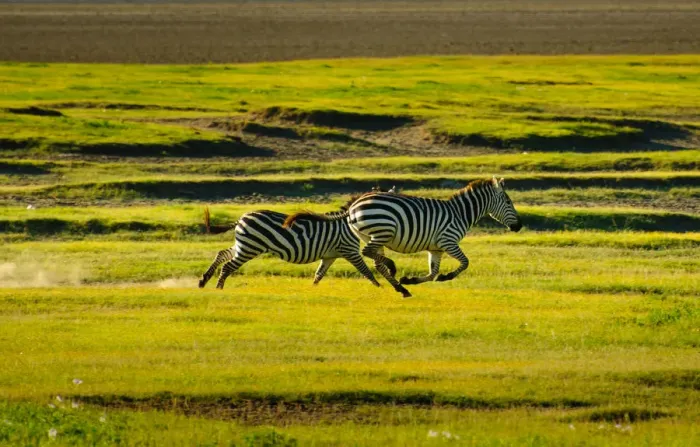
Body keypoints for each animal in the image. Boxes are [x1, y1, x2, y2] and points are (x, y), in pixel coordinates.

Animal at [198, 194, 397, 290]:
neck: (348, 224)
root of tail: (241, 218)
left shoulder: (330, 255)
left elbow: (319, 274)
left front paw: (312, 289)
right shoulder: (349, 250)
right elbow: (366, 271)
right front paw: (379, 287)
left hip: (244, 244)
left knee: (222, 254)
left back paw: (203, 280)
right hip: (250, 247)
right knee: (228, 265)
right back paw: (218, 287)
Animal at [283, 177, 521, 297]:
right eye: (509, 202)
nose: (519, 226)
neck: (461, 213)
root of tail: (353, 205)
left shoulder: (435, 248)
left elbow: (432, 273)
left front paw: (411, 280)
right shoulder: (448, 241)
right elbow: (464, 263)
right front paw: (446, 277)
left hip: (370, 233)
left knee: (375, 261)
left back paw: (401, 288)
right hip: (382, 230)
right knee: (369, 253)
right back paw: (393, 268)